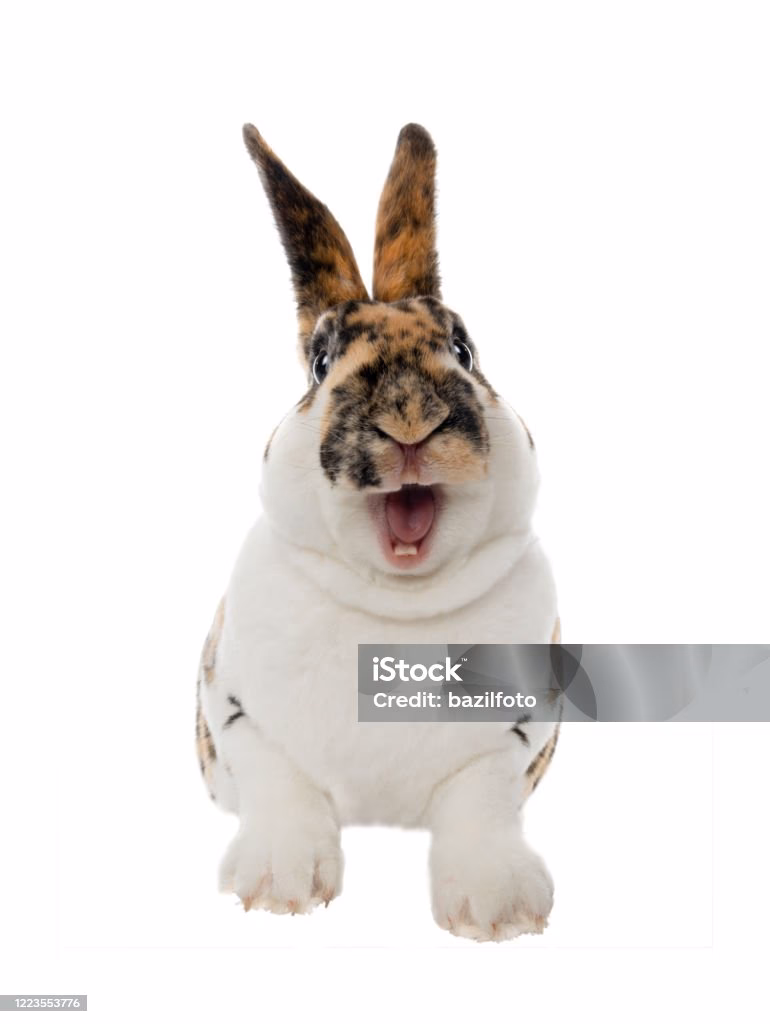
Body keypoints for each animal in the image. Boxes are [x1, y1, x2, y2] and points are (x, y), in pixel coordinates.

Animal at [195, 122, 561, 942]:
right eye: (321, 361)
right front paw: (279, 886)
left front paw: (499, 910)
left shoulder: (515, 736)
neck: (400, 604)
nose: (410, 417)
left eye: (464, 350)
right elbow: (280, 781)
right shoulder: (235, 713)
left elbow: (479, 803)